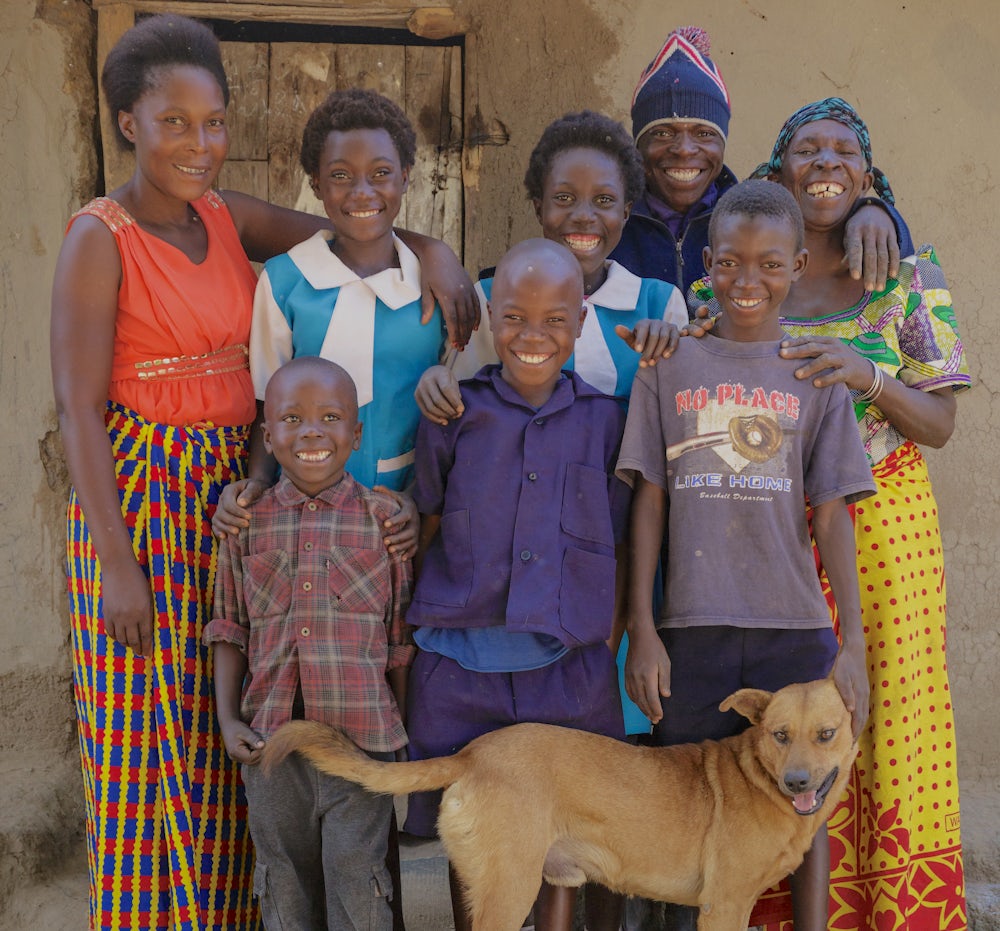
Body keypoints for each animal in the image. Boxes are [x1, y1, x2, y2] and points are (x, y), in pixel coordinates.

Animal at [266, 676, 860, 931]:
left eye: (826, 734)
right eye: (780, 735)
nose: (797, 783)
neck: (758, 776)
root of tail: (471, 754)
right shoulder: (724, 905)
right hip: (509, 887)